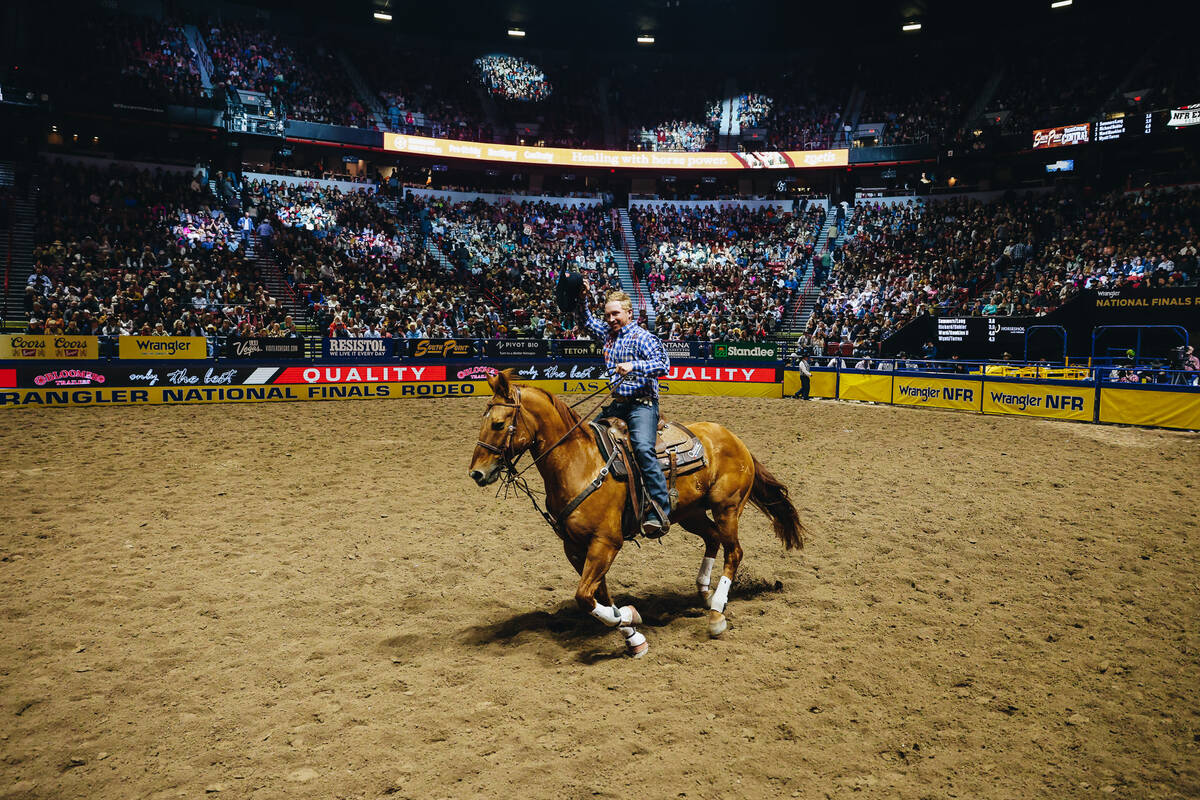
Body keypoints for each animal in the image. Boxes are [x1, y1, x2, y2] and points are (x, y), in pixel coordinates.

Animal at [468, 369, 806, 657]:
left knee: (733, 552)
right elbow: (597, 595)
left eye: (498, 424)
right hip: (689, 514)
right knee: (713, 540)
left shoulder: (606, 542)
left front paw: (630, 616)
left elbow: (585, 597)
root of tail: (734, 439)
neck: (580, 462)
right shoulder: (575, 548)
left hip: (728, 507)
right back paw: (707, 594)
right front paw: (633, 636)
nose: (477, 474)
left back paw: (716, 615)